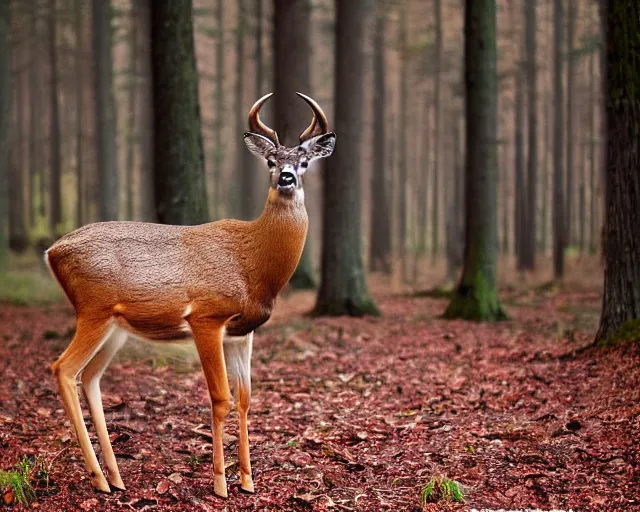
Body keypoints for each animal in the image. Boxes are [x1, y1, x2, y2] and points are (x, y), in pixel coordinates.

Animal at [45, 92, 336, 496]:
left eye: (305, 161)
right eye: (270, 160)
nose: (287, 178)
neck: (253, 262)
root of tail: (52, 251)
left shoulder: (242, 332)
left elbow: (246, 399)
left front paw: (247, 481)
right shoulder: (206, 316)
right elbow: (221, 398)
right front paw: (220, 484)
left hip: (115, 325)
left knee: (90, 378)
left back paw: (117, 477)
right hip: (93, 309)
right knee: (63, 369)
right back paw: (100, 479)